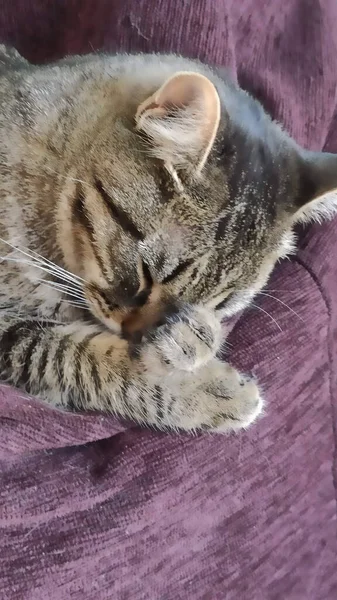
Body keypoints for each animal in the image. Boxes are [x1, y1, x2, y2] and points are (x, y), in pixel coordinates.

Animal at [0, 45, 336, 432]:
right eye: (144, 273)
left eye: (219, 305)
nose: (137, 335)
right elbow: (78, 358)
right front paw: (204, 388)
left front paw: (194, 336)